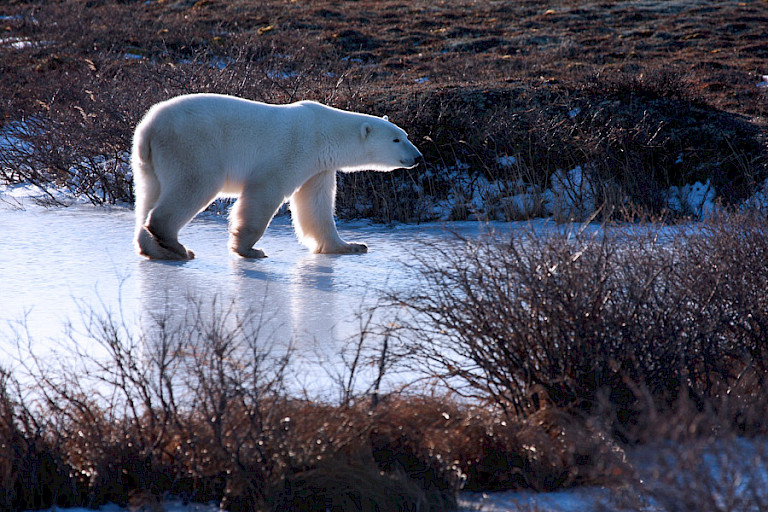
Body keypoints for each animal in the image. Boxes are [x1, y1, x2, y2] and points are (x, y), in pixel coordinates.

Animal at [132, 93, 420, 260]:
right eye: (396, 139)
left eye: (405, 135)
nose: (417, 157)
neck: (323, 133)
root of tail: (149, 128)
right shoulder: (292, 151)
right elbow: (264, 193)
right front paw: (249, 249)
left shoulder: (318, 167)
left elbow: (316, 205)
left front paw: (350, 245)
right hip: (192, 146)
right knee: (195, 184)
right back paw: (177, 245)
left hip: (149, 163)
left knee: (148, 195)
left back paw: (157, 250)